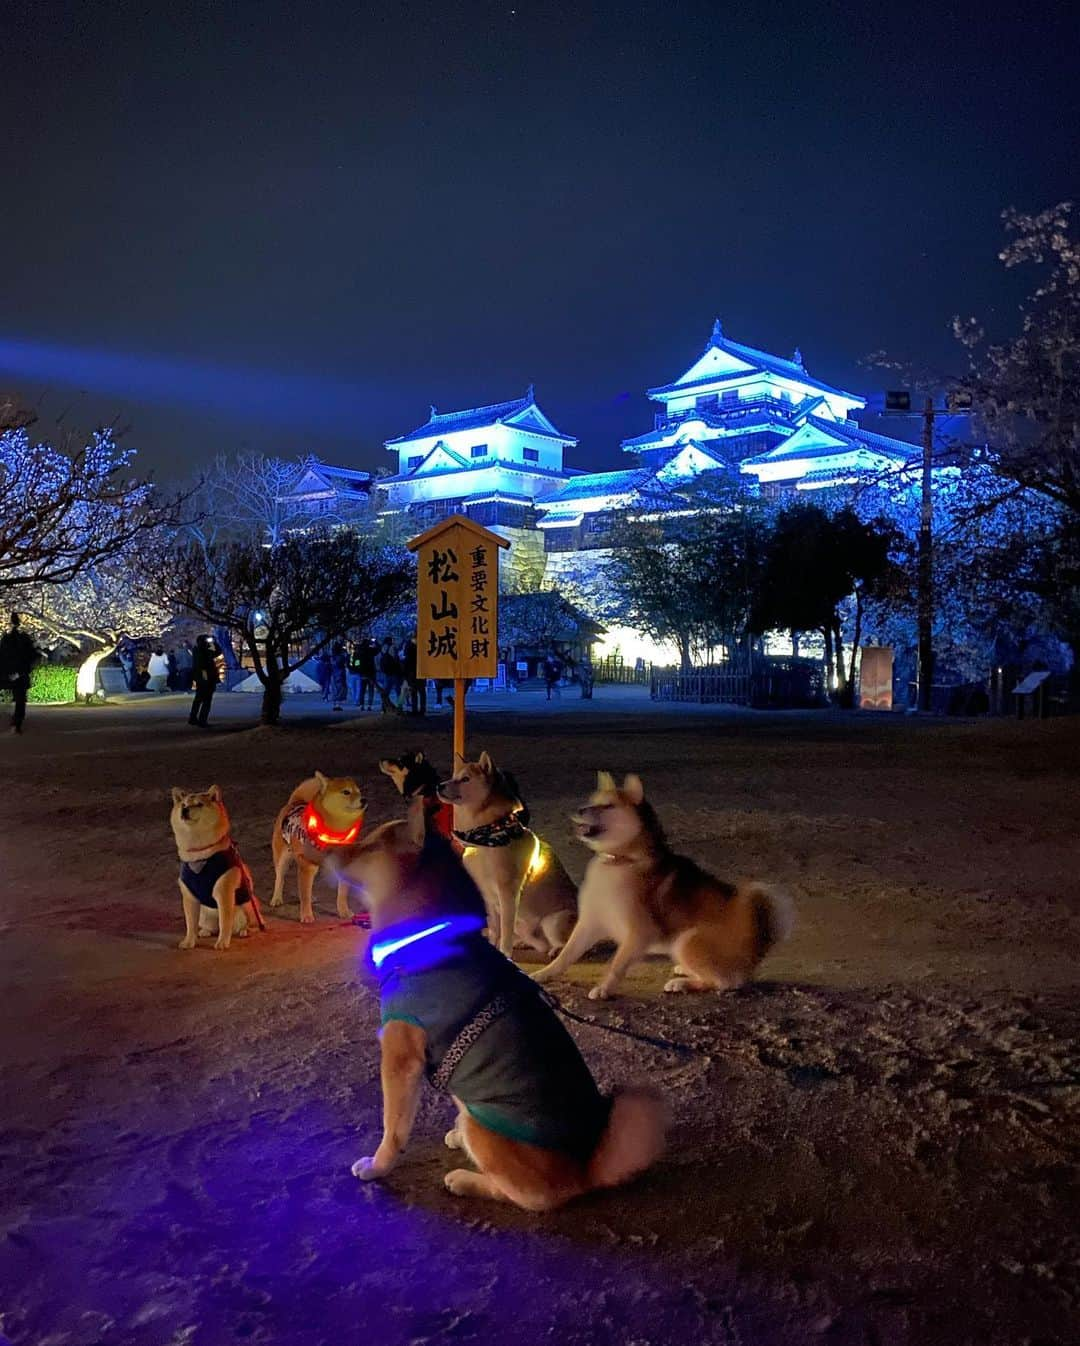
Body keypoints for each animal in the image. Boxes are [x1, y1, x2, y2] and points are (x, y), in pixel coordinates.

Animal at [173, 786, 266, 952]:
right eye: (183, 805)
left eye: (199, 804)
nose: (184, 811)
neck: (199, 855)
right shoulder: (189, 895)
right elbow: (190, 924)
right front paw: (189, 941)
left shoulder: (224, 892)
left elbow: (224, 922)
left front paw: (222, 942)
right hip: (204, 913)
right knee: (210, 926)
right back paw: (205, 931)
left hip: (248, 906)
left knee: (253, 924)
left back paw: (245, 930)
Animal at [269, 775, 366, 920]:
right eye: (346, 792)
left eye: (359, 792)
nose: (364, 799)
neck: (333, 832)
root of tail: (295, 802)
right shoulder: (307, 865)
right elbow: (304, 895)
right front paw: (306, 916)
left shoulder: (342, 864)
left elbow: (342, 895)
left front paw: (344, 911)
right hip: (283, 858)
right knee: (280, 878)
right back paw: (276, 898)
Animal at [533, 769, 791, 1001]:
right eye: (591, 802)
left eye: (607, 806)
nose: (578, 810)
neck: (619, 860)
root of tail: (755, 943)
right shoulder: (589, 924)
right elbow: (565, 956)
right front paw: (545, 974)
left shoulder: (639, 933)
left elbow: (616, 965)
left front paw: (604, 988)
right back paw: (683, 972)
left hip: (686, 941)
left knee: (723, 982)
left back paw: (682, 984)